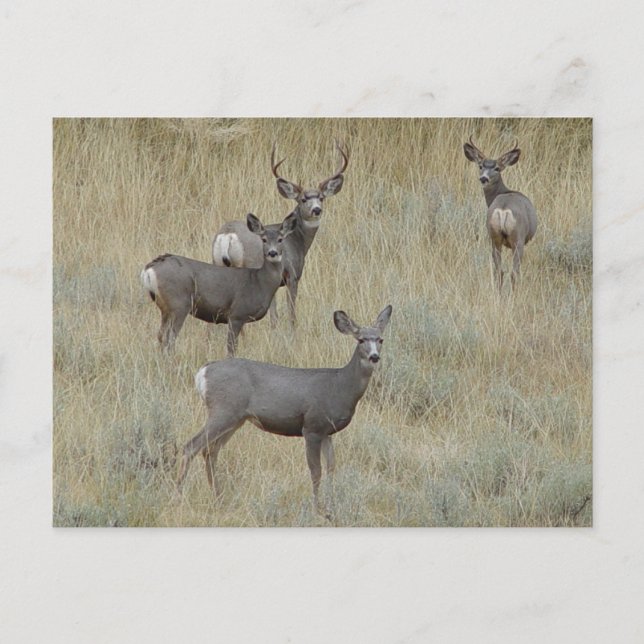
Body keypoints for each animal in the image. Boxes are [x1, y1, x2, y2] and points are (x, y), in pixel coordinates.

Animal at [141, 213, 297, 357]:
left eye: (280, 239)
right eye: (263, 239)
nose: (272, 253)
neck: (259, 282)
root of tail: (149, 270)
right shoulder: (236, 314)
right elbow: (231, 348)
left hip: (165, 308)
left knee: (161, 335)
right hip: (179, 304)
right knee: (170, 338)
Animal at [175, 304, 393, 519]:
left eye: (380, 339)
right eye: (361, 339)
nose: (374, 357)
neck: (340, 386)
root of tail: (202, 373)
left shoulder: (327, 432)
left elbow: (331, 468)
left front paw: (331, 507)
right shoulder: (312, 426)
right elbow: (316, 471)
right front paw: (318, 509)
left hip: (235, 418)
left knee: (210, 451)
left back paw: (219, 498)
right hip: (223, 410)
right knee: (191, 447)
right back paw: (179, 494)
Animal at [212, 141, 349, 326]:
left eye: (321, 198)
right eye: (303, 199)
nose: (316, 210)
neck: (297, 241)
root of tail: (227, 235)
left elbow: (274, 314)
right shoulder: (292, 274)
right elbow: (290, 312)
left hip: (217, 263)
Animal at [463, 137, 537, 292]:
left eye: (497, 168)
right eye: (480, 166)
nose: (483, 178)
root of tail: (503, 210)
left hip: (493, 237)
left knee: (499, 271)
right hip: (518, 238)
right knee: (514, 272)